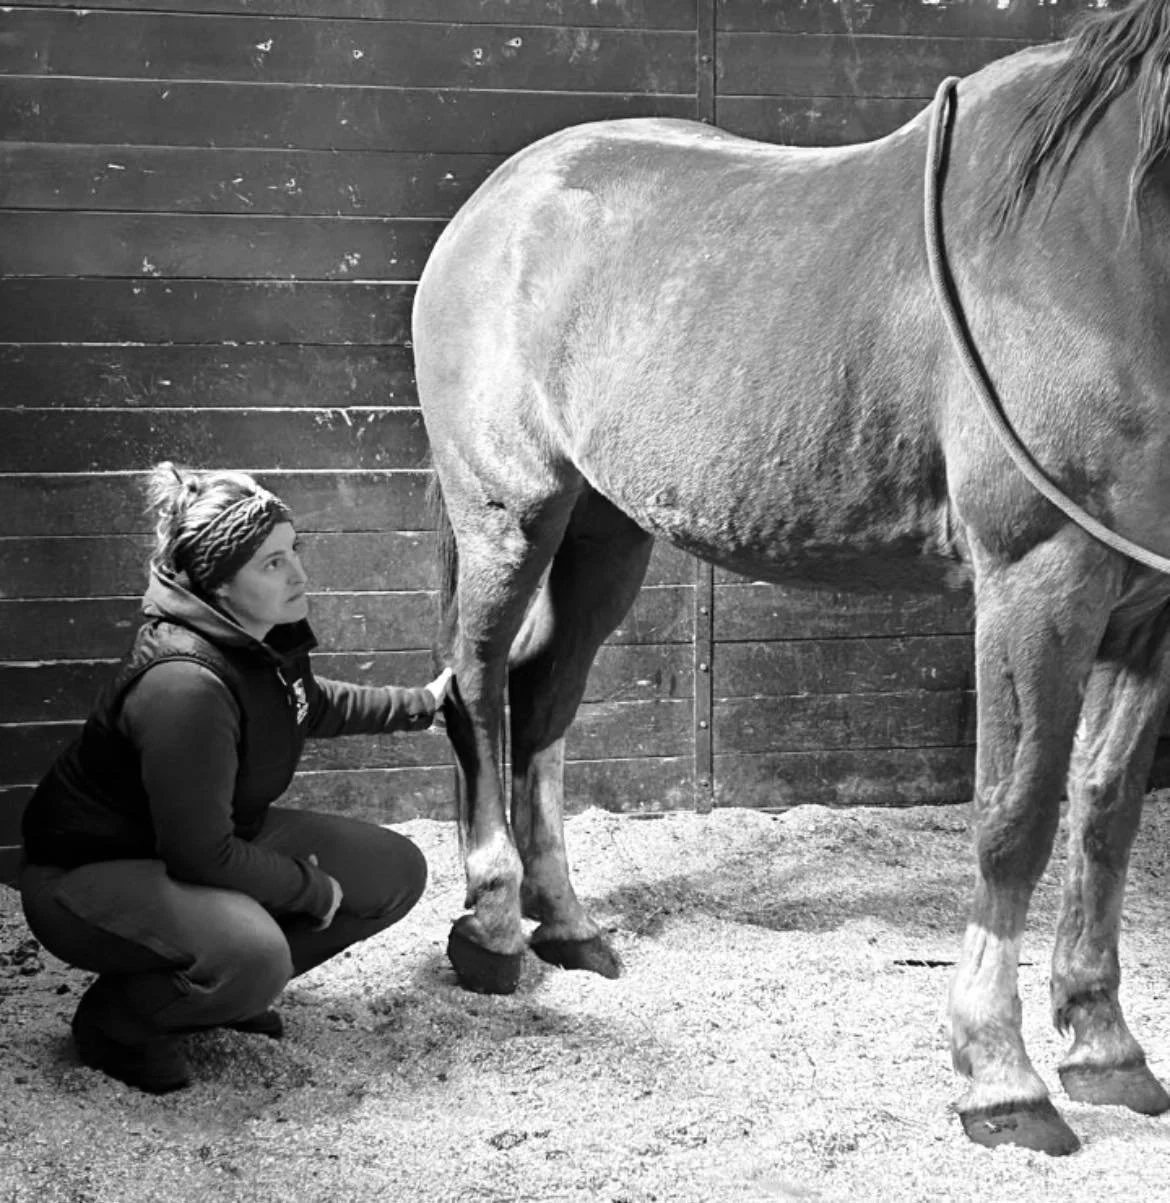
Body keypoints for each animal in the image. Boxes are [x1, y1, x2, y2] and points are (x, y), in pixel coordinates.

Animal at [413, 0, 1170, 1156]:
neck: (1108, 243)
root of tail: (505, 197)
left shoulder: (1150, 605)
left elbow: (1107, 810)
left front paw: (1103, 1044)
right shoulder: (1038, 581)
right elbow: (1016, 819)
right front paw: (1000, 1079)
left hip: (607, 535)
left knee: (542, 699)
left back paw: (568, 926)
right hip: (510, 512)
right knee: (480, 692)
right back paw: (492, 928)